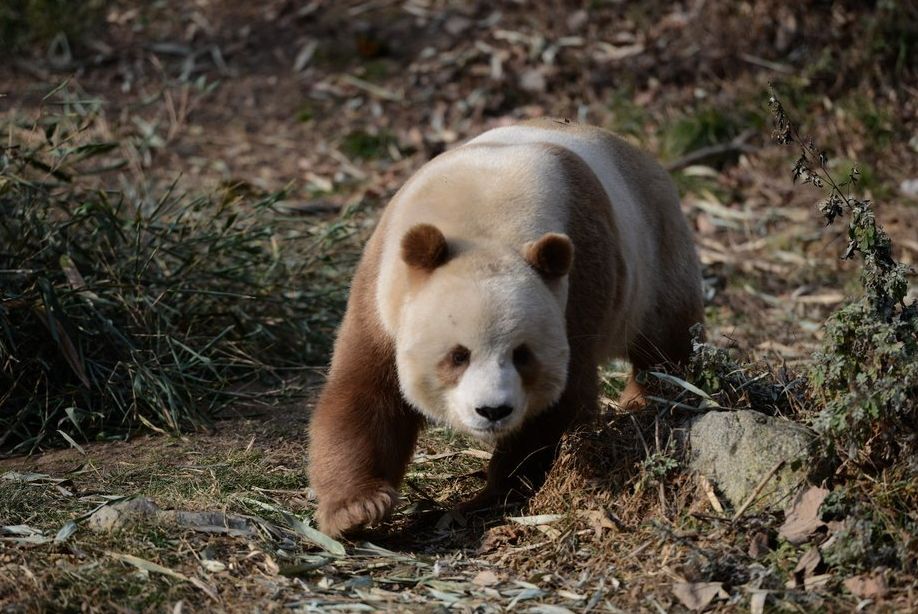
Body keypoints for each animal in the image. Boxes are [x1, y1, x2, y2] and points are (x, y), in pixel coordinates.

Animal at [310, 118, 704, 536]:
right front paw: (357, 509)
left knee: (666, 343)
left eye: (522, 355)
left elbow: (560, 400)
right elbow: (366, 391)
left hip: (654, 251)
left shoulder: (578, 279)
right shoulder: (384, 286)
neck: (484, 221)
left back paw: (649, 399)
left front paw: (491, 495)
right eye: (458, 356)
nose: (492, 411)